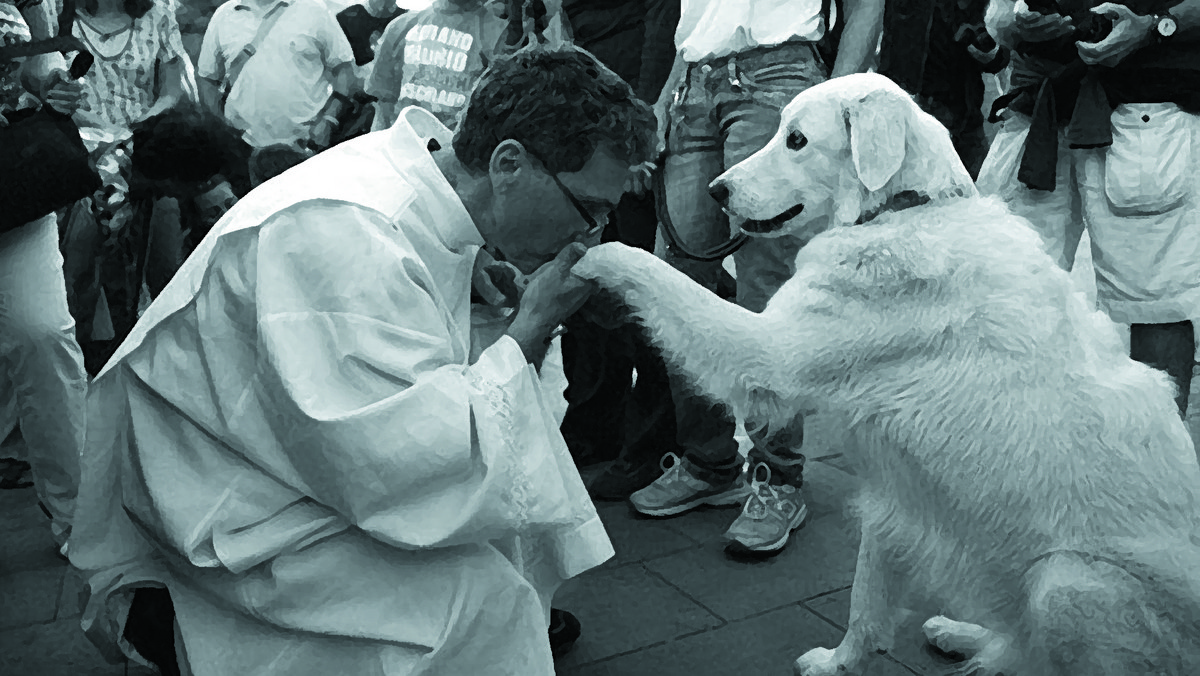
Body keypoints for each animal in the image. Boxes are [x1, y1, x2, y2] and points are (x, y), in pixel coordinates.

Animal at [568, 74, 1200, 676]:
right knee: (1018, 647)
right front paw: (837, 664)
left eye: (796, 140)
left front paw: (590, 256)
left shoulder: (767, 354)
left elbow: (658, 276)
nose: (715, 191)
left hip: (1066, 584)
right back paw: (963, 635)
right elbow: (866, 602)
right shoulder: (894, 492)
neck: (906, 208)